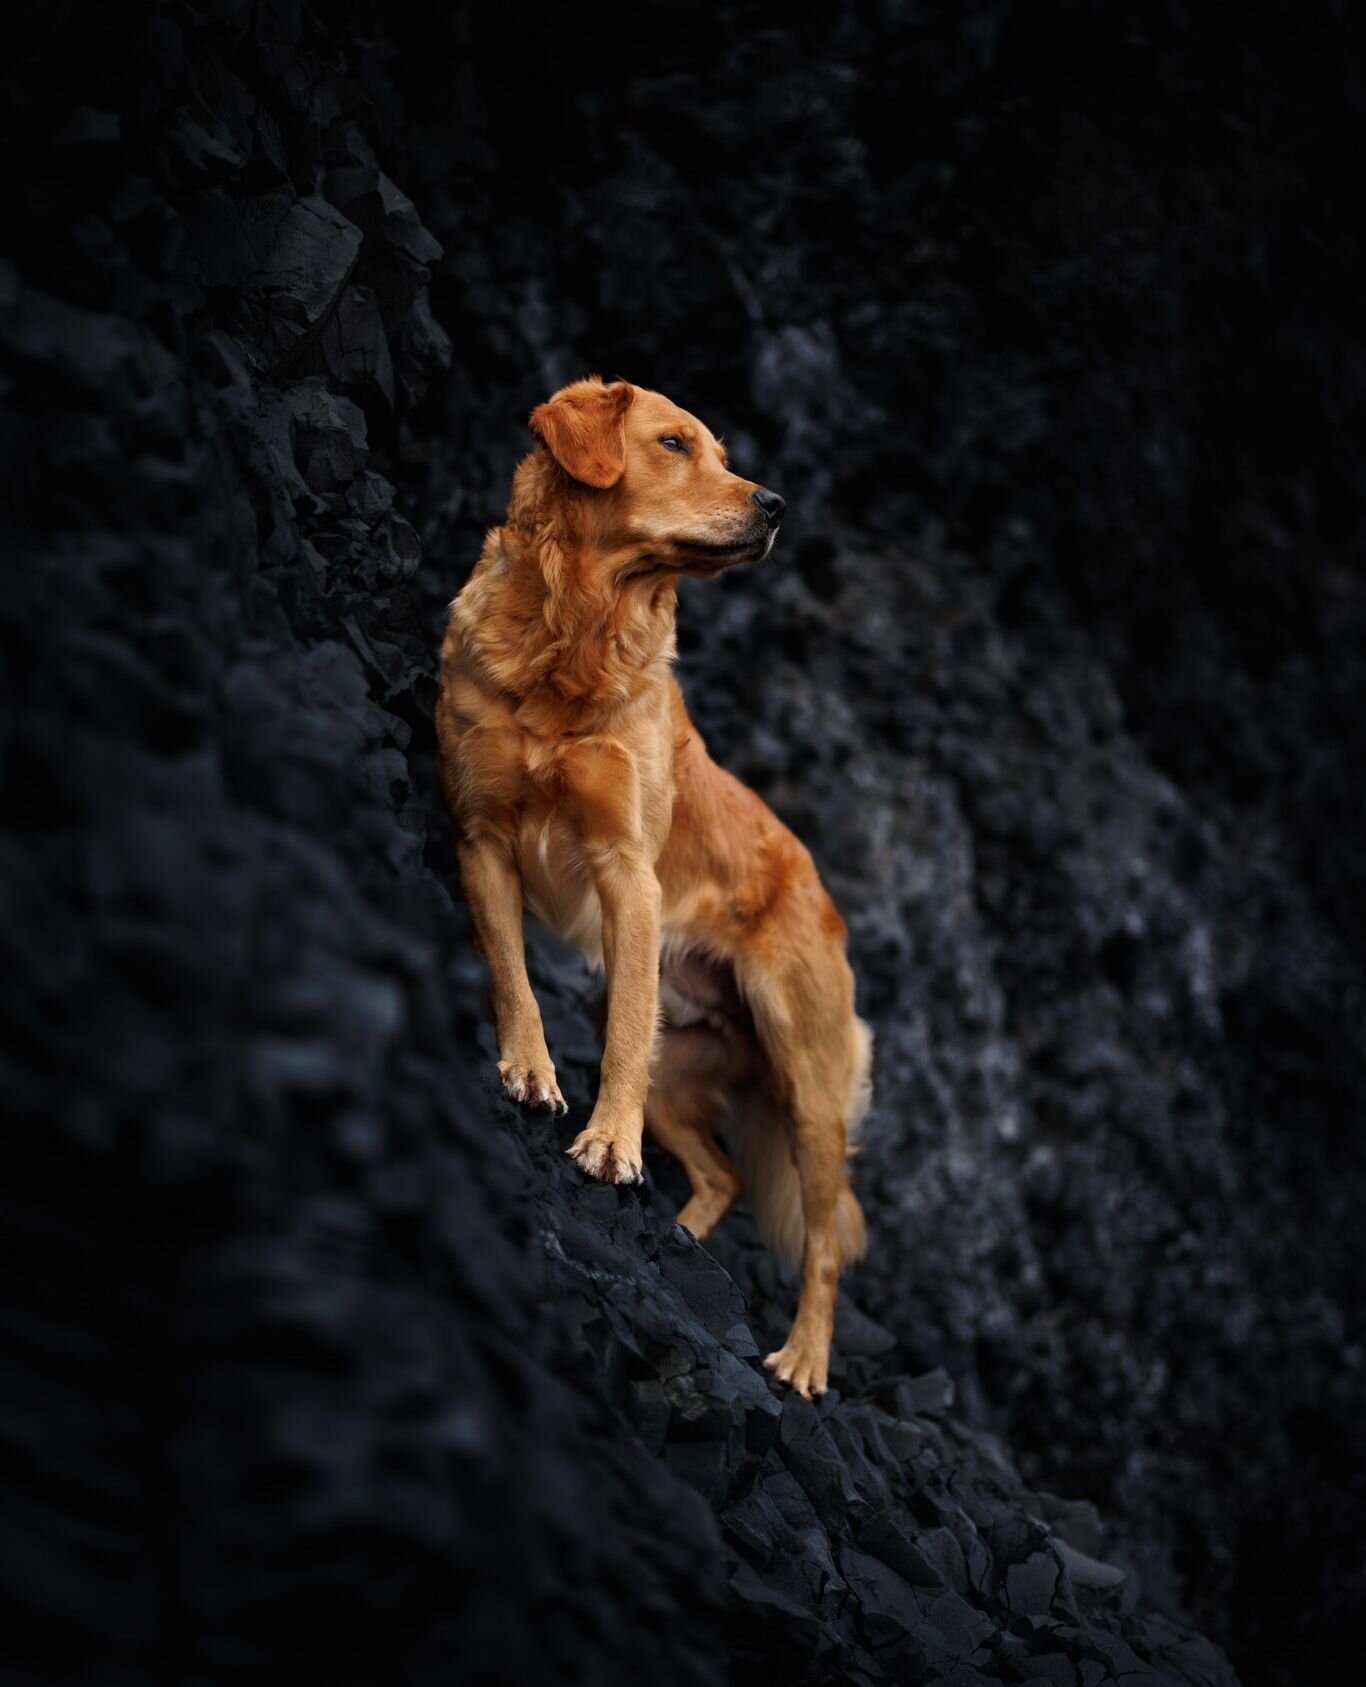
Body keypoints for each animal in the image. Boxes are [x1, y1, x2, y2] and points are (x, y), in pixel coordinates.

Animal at [435, 382, 870, 1396]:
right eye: (675, 444)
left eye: (724, 453)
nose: (776, 504)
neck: (578, 630)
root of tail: (823, 892)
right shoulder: (482, 837)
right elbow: (510, 971)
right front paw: (529, 1072)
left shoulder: (628, 871)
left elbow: (624, 1031)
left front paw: (608, 1146)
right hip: (691, 1075)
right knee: (724, 1176)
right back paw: (679, 1240)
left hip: (810, 1092)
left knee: (825, 1246)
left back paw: (802, 1358)